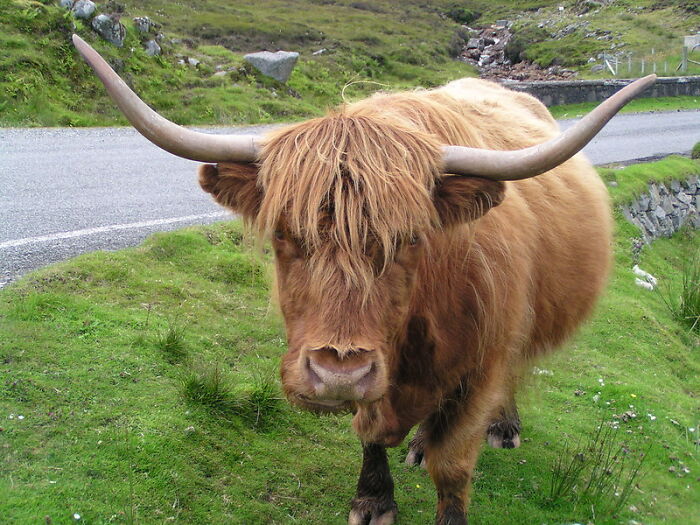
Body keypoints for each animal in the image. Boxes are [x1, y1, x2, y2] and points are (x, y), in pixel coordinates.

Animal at [72, 34, 655, 524]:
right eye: (283, 232)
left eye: (412, 238)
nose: (338, 373)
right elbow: (371, 431)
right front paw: (373, 500)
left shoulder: (479, 368)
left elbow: (453, 466)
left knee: (513, 372)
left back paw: (503, 428)